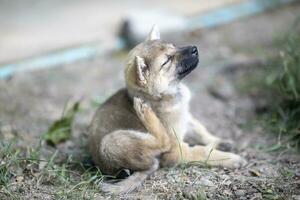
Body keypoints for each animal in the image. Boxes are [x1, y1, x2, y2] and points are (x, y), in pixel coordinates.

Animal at [87, 25, 246, 195]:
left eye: (173, 46)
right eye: (167, 61)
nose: (194, 48)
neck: (164, 96)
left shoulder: (186, 118)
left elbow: (202, 132)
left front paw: (220, 142)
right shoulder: (176, 150)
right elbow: (201, 151)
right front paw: (229, 158)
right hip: (110, 143)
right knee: (163, 142)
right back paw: (145, 113)